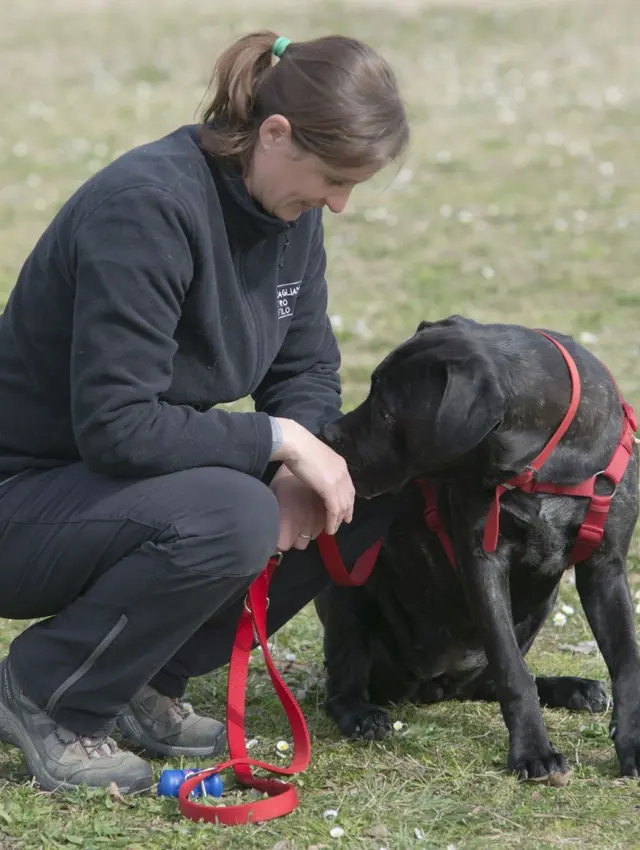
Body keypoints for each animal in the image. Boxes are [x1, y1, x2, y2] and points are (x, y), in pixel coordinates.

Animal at [316, 314, 640, 780]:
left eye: (386, 410)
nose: (327, 434)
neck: (548, 459)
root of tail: (433, 686)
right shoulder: (483, 563)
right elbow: (512, 671)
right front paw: (533, 752)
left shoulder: (606, 567)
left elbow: (627, 660)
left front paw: (632, 741)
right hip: (345, 592)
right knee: (341, 687)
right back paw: (362, 714)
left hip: (544, 599)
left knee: (487, 682)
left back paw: (573, 689)